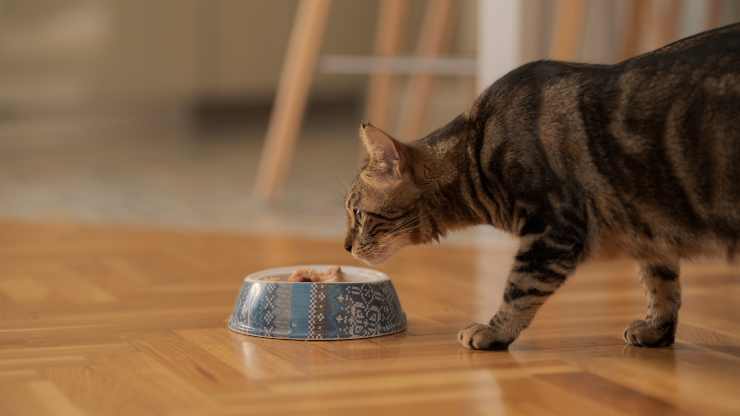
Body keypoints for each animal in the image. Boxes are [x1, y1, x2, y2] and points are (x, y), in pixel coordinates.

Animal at [342, 23, 740, 352]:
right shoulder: (649, 226)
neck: (476, 153)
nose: (345, 246)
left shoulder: (553, 229)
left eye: (359, 214)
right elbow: (661, 283)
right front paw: (657, 329)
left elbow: (519, 288)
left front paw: (494, 331)